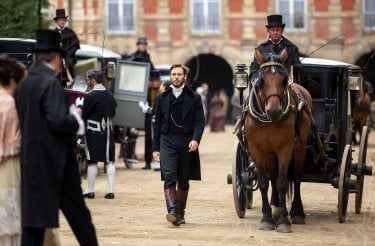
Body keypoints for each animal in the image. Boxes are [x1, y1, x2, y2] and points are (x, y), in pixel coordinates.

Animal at [247, 49, 314, 233]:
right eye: (261, 80)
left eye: (284, 80)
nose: (274, 111)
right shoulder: (256, 149)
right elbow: (264, 182)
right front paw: (267, 218)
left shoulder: (285, 149)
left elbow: (282, 182)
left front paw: (284, 221)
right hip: (271, 153)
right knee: (273, 175)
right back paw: (275, 207)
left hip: (300, 148)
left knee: (296, 177)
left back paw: (297, 212)